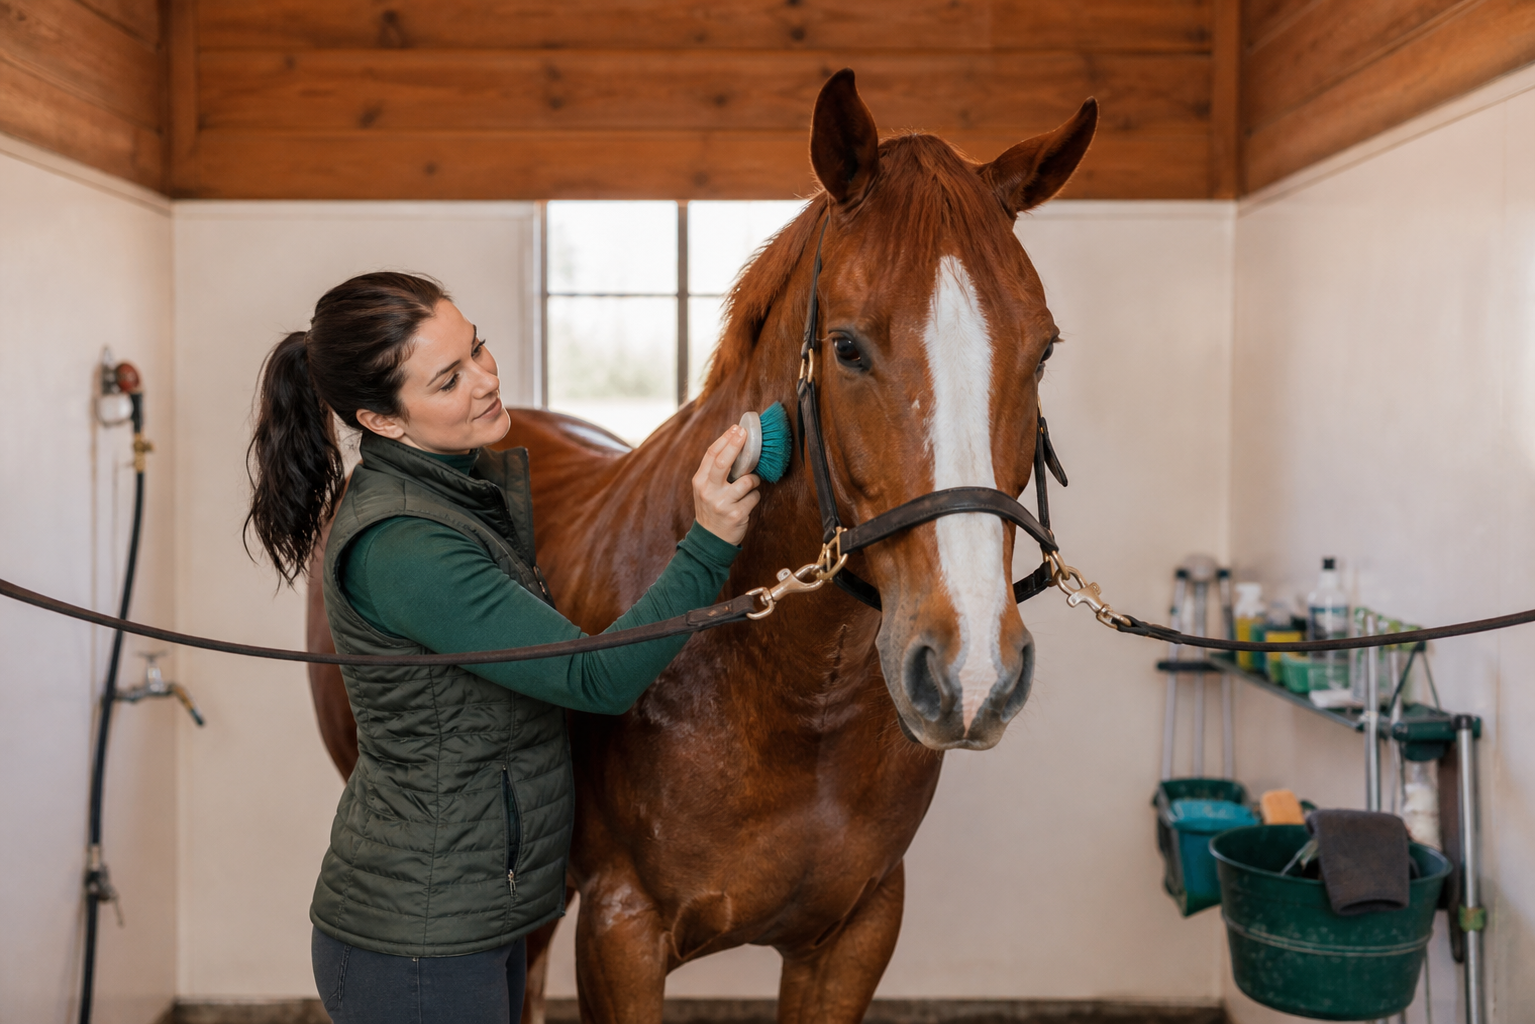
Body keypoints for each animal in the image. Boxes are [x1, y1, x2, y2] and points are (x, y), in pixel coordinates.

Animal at [307, 69, 1096, 1023]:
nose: (972, 669)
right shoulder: (620, 931)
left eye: (1043, 350)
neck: (792, 693)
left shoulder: (856, 933)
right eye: (846, 347)